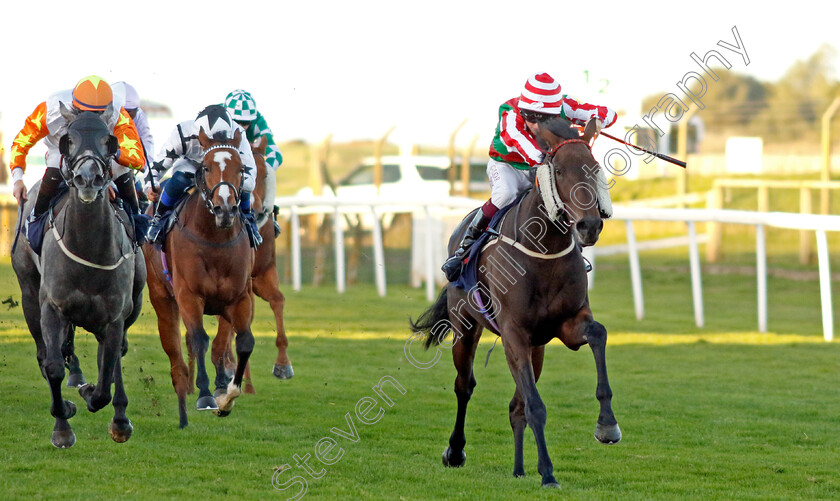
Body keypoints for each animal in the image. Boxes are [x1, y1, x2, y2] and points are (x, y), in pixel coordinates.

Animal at [12, 103, 148, 448]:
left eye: (108, 141)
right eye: (68, 140)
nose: (88, 177)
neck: (88, 249)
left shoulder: (115, 316)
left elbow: (104, 381)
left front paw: (103, 405)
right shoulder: (51, 307)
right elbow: (53, 366)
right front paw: (63, 424)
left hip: (134, 302)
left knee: (112, 358)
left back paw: (120, 417)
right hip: (29, 295)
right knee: (48, 354)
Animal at [143, 126, 254, 426]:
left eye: (241, 169)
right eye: (206, 167)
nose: (225, 209)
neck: (214, 239)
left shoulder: (238, 298)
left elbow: (244, 342)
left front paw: (226, 398)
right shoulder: (189, 296)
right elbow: (198, 339)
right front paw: (205, 396)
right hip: (162, 297)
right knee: (175, 349)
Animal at [410, 117, 620, 484]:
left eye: (594, 168)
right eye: (559, 171)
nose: (589, 225)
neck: (544, 250)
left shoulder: (566, 324)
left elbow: (598, 333)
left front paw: (607, 425)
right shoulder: (513, 332)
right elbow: (535, 406)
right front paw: (548, 473)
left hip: (537, 346)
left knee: (514, 405)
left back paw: (520, 469)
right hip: (466, 327)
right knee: (464, 386)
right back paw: (455, 452)